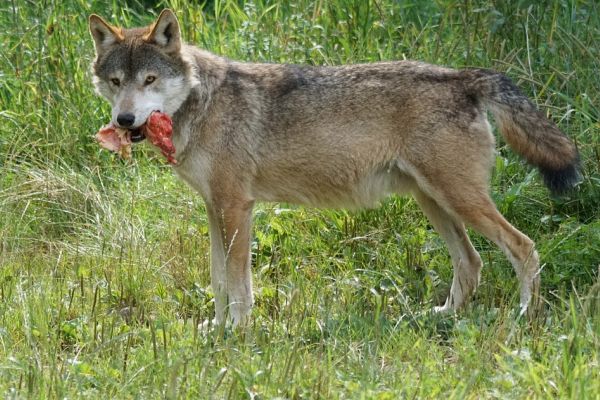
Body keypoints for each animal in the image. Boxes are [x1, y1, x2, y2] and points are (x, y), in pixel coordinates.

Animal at [90, 9, 580, 326]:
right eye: (116, 82)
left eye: (149, 80)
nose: (125, 120)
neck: (200, 104)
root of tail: (463, 76)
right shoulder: (215, 210)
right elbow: (217, 281)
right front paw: (216, 329)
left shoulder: (236, 208)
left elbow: (238, 286)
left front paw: (237, 333)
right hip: (433, 202)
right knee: (471, 261)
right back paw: (443, 316)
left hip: (459, 201)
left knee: (524, 247)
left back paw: (524, 317)